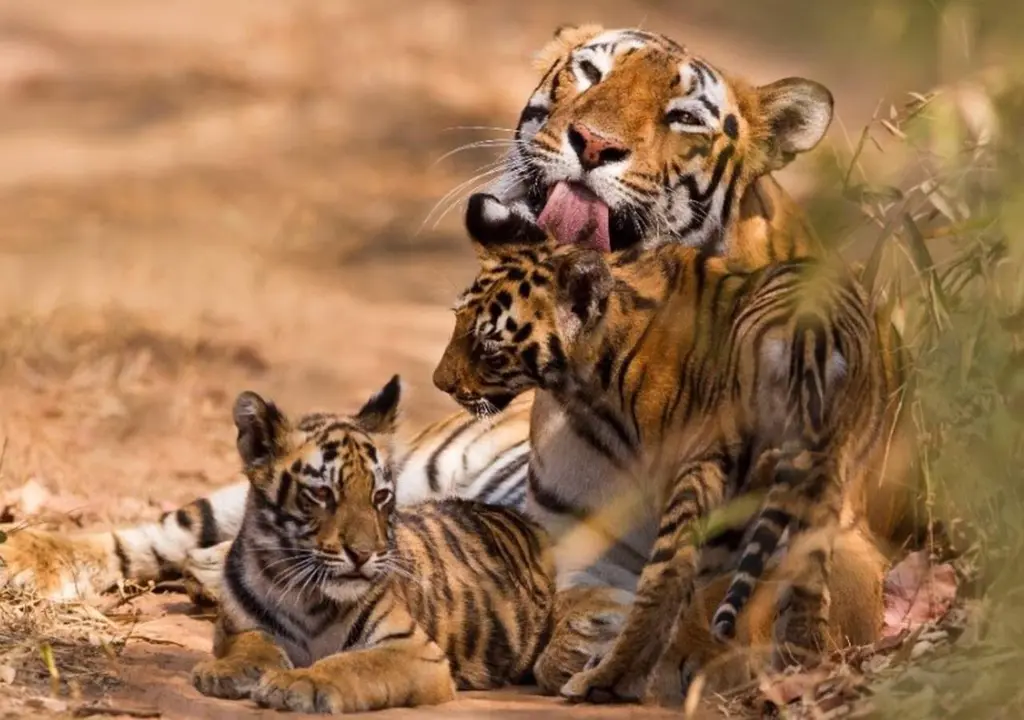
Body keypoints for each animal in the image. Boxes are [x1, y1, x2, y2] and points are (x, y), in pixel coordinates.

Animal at [190, 375, 556, 713]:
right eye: (322, 493)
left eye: (379, 496)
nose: (362, 554)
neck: (303, 595)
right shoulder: (236, 626)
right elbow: (251, 643)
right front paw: (224, 671)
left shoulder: (413, 650)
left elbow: (353, 664)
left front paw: (300, 681)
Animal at [431, 191, 903, 704]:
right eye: (455, 322)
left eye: (490, 349)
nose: (440, 383)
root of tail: (809, 333)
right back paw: (800, 665)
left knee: (674, 580)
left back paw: (611, 678)